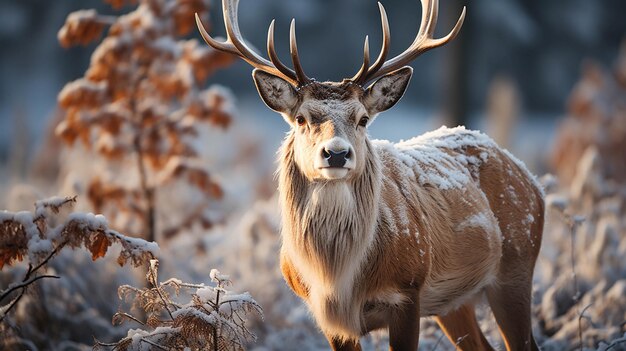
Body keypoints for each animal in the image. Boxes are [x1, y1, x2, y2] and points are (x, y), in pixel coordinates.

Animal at [195, 1, 540, 350]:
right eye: (302, 118)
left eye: (362, 119)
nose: (336, 153)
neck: (338, 282)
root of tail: (527, 176)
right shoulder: (332, 321)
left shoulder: (407, 290)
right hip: (455, 300)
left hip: (517, 266)